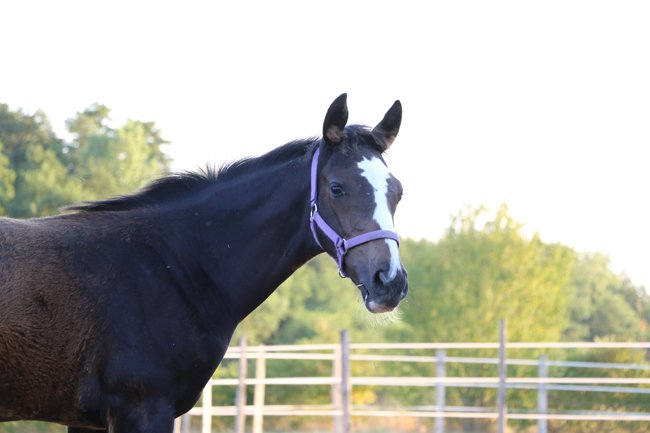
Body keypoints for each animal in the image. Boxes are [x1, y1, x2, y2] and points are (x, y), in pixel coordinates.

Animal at [0, 93, 408, 433]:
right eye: (337, 188)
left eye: (398, 192)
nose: (389, 281)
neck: (173, 263)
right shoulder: (143, 410)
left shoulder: (90, 421)